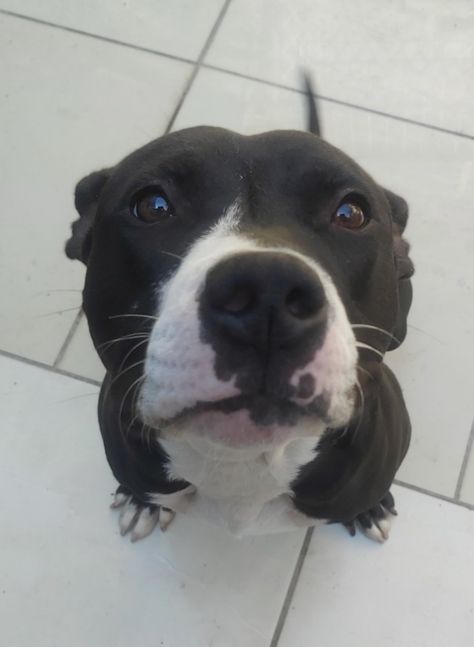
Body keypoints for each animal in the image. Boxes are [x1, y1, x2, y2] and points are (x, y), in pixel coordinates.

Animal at [65, 74, 412, 540]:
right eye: (152, 206)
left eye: (351, 213)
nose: (267, 291)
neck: (242, 463)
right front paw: (142, 503)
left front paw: (371, 507)